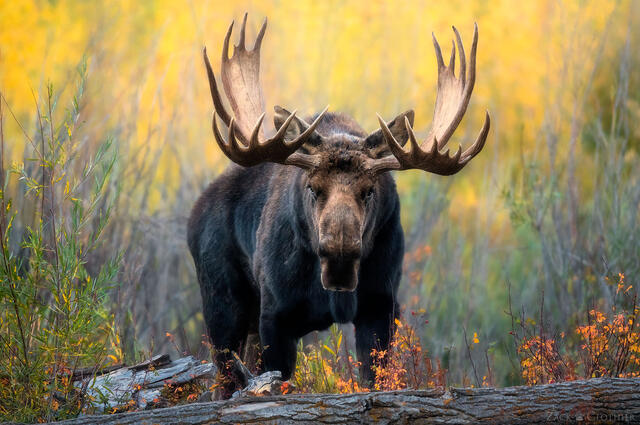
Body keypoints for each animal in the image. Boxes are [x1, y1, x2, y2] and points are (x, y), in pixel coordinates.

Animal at [187, 13, 490, 398]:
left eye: (369, 191)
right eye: (313, 188)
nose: (340, 245)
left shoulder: (381, 305)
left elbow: (374, 380)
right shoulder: (275, 315)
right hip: (221, 302)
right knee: (223, 383)